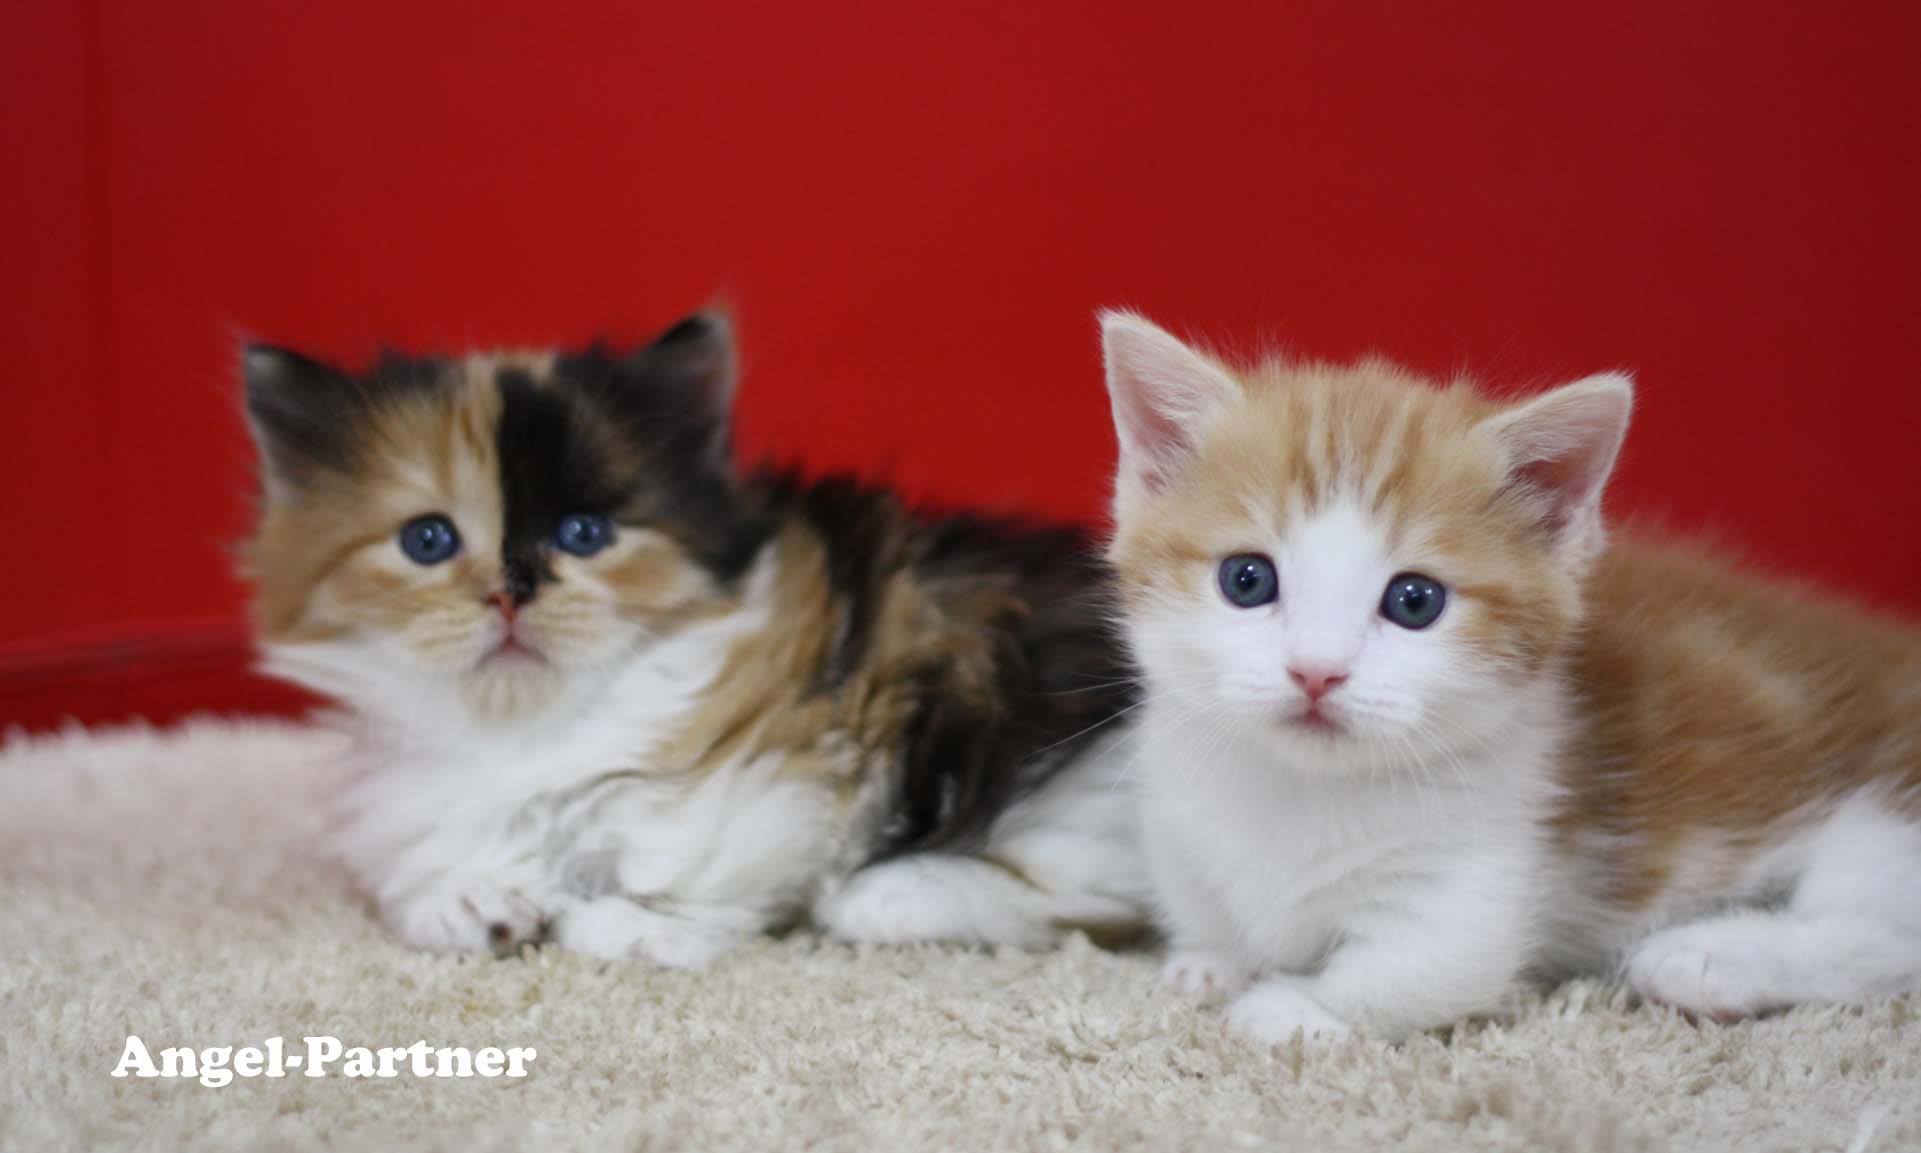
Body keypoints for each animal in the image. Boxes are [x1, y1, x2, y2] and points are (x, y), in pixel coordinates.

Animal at [238, 313, 1137, 964]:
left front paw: (625, 922)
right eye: (428, 540)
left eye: (584, 533)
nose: (510, 592)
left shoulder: (787, 759)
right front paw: (468, 905)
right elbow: (420, 875)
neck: (519, 727)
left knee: (1087, 903)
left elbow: (687, 854)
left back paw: (886, 892)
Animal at [1098, 311, 1921, 1037]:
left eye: (1414, 600)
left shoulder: (1488, 860)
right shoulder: (1174, 817)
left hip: (1878, 820)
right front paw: (1208, 962)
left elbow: (1424, 970)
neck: (1301, 789)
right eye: (1246, 580)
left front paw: (1290, 1007)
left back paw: (1707, 956)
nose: (1316, 672)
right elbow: (1205, 911)